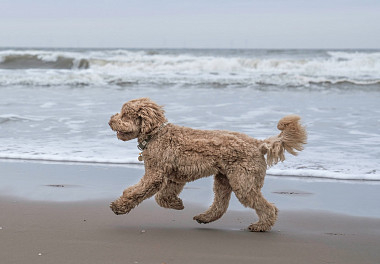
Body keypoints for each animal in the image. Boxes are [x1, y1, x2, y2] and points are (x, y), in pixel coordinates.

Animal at [108, 97, 308, 231]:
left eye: (124, 115)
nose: (110, 120)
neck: (155, 134)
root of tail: (259, 144)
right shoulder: (174, 177)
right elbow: (163, 196)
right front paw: (177, 203)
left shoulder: (155, 174)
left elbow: (136, 192)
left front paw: (119, 207)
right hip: (224, 179)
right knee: (220, 204)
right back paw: (205, 217)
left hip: (243, 182)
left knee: (267, 207)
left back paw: (261, 225)